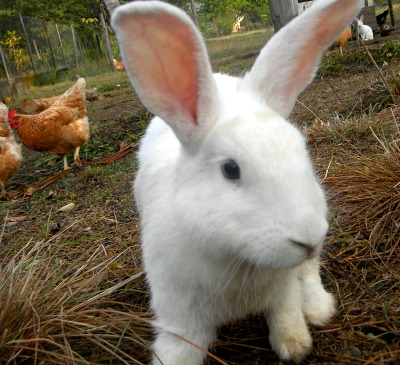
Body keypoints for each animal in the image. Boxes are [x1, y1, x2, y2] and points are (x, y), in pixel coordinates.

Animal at [111, 1, 364, 362]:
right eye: (231, 169)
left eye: (300, 149)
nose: (308, 239)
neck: (239, 259)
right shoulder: (179, 315)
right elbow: (178, 350)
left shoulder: (284, 291)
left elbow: (287, 315)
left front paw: (295, 346)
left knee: (309, 274)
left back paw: (318, 309)